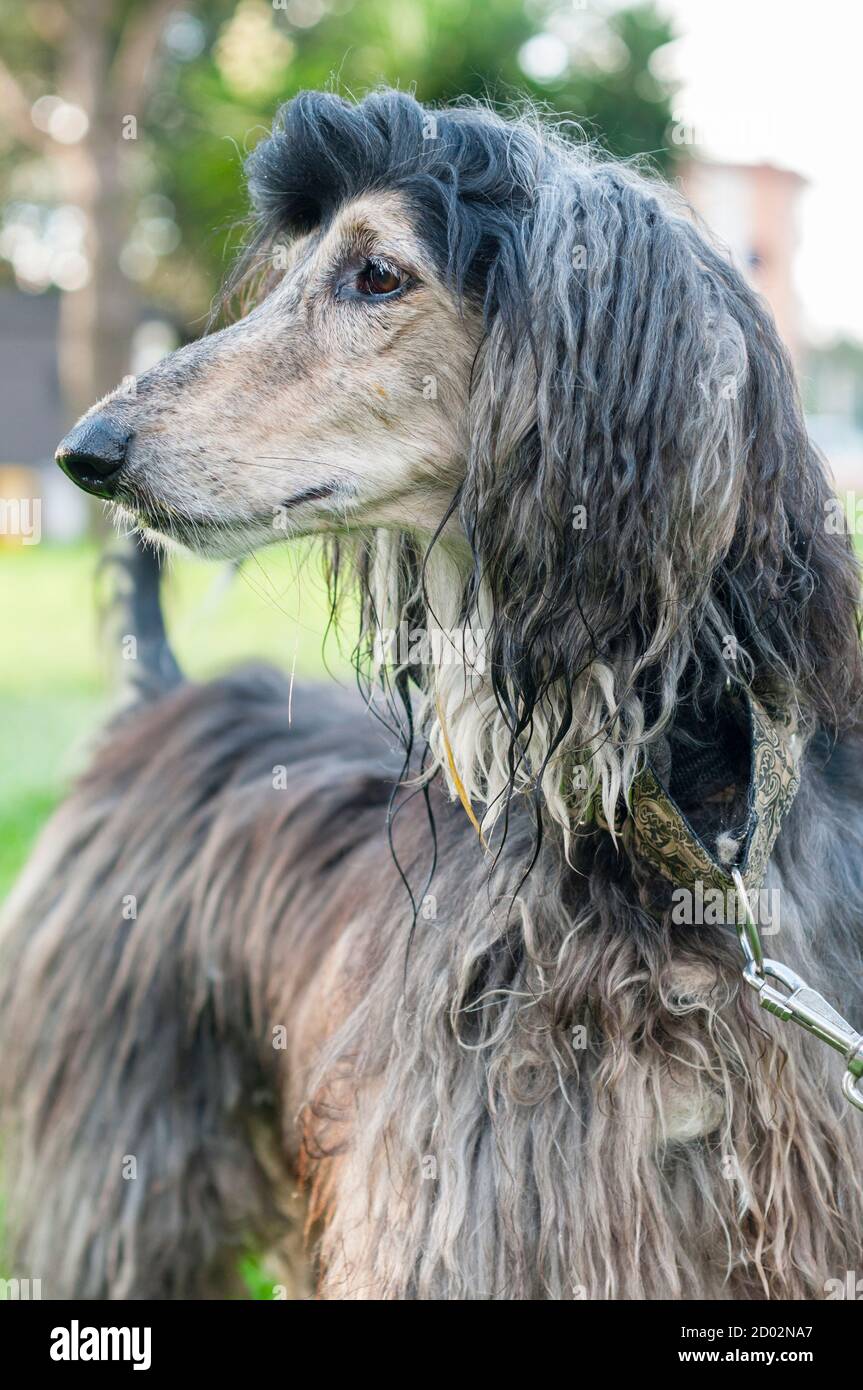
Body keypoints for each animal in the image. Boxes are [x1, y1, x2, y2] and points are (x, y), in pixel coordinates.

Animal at [1, 92, 861, 1295]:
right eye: (294, 271)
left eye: (377, 275)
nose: (88, 451)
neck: (685, 843)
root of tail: (158, 700)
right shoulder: (484, 1211)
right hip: (121, 1165)